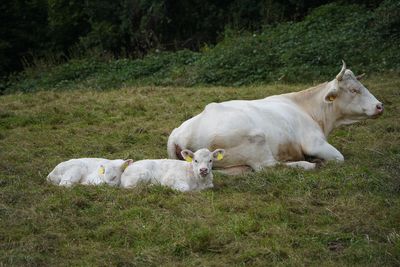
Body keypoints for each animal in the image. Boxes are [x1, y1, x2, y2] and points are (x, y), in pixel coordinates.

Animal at [167, 61, 382, 173]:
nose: (380, 106)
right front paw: (317, 160)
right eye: (354, 90)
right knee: (267, 166)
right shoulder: (314, 143)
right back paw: (308, 164)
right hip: (257, 141)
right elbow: (339, 158)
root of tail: (179, 133)